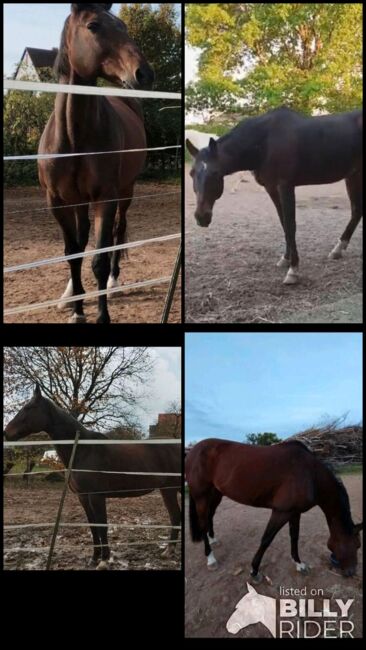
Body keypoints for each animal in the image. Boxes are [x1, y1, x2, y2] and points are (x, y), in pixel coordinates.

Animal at [4, 382, 182, 568]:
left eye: (29, 407)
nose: (7, 433)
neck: (83, 450)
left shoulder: (97, 496)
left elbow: (102, 525)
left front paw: (104, 560)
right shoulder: (83, 496)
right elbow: (93, 527)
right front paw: (94, 558)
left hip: (170, 489)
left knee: (175, 516)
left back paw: (169, 551)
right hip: (167, 489)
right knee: (176, 516)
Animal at [38, 2, 154, 322]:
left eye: (123, 27)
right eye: (93, 26)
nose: (144, 73)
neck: (74, 138)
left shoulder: (106, 197)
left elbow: (99, 260)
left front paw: (102, 315)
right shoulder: (58, 202)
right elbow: (73, 254)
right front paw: (77, 310)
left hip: (126, 191)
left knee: (118, 231)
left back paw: (113, 283)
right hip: (79, 200)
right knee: (82, 239)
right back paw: (69, 294)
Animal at [187, 107, 362, 284]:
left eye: (215, 173)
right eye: (191, 173)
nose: (201, 217)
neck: (265, 142)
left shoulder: (285, 186)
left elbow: (290, 225)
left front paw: (293, 270)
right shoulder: (272, 189)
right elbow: (283, 222)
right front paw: (286, 259)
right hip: (353, 176)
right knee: (356, 211)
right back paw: (337, 249)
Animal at [187, 436, 362, 576]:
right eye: (356, 545)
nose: (351, 572)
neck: (311, 474)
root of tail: (193, 450)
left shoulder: (294, 512)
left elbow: (294, 537)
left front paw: (299, 564)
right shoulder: (281, 512)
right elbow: (266, 539)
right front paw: (254, 570)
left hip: (216, 494)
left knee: (210, 516)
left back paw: (213, 539)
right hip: (201, 496)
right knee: (202, 523)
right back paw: (211, 559)